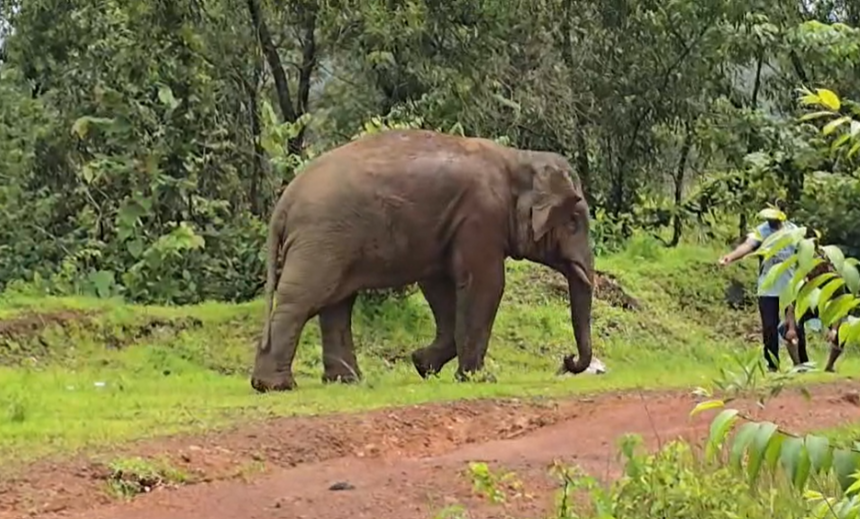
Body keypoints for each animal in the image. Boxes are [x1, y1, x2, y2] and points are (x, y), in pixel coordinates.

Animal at [251, 129, 595, 392]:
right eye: (574, 221)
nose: (566, 361)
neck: (517, 158)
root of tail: (284, 201)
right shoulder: (480, 216)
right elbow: (485, 284)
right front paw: (477, 379)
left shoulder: (453, 226)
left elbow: (439, 286)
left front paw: (421, 364)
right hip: (321, 238)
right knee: (303, 299)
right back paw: (275, 386)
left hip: (331, 241)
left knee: (336, 304)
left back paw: (347, 382)